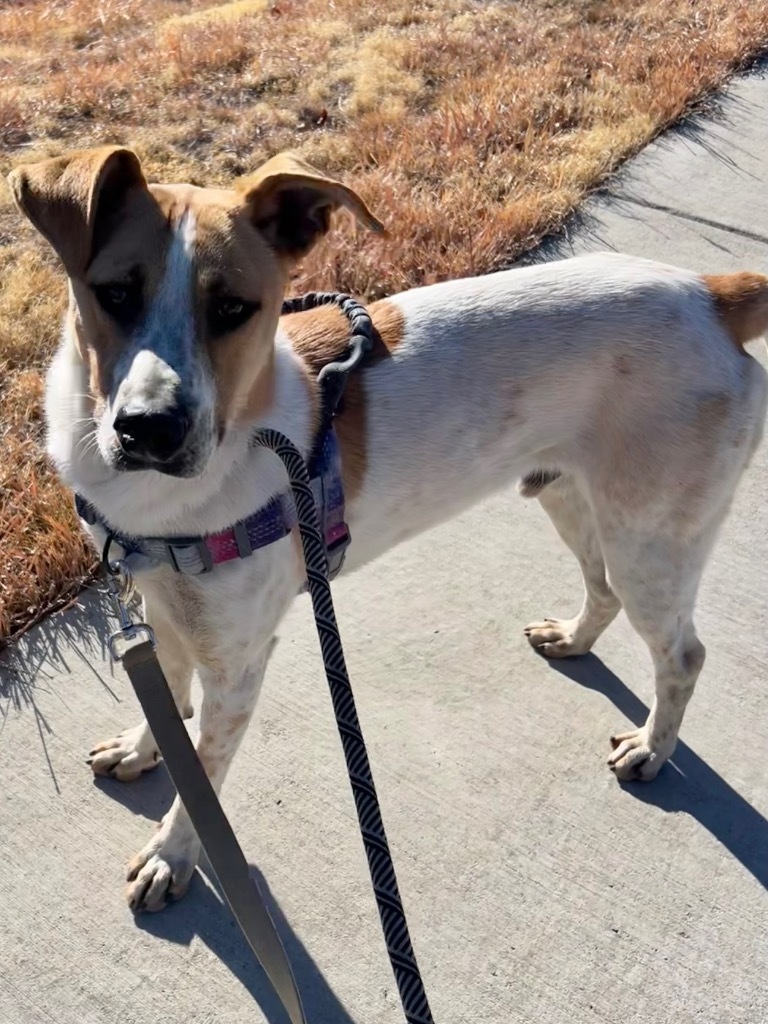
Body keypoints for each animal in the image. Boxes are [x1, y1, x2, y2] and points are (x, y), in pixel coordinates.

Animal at [9, 146, 768, 913]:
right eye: (114, 293)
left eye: (232, 309)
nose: (149, 430)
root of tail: (710, 293)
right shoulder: (163, 611)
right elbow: (166, 709)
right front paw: (142, 750)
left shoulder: (237, 666)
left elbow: (204, 778)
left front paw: (173, 854)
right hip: (572, 497)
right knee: (603, 589)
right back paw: (574, 638)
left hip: (651, 540)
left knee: (682, 656)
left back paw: (652, 748)